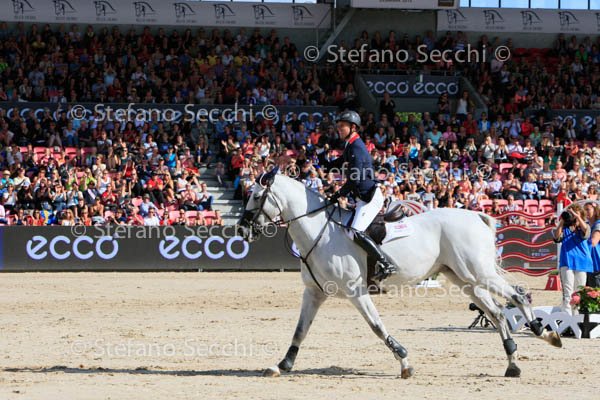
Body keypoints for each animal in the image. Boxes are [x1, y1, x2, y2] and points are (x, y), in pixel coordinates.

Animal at [237, 169, 562, 379]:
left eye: (256, 195)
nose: (241, 229)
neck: (319, 231)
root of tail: (476, 215)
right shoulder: (314, 293)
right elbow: (300, 331)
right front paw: (281, 365)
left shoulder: (356, 292)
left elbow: (377, 326)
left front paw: (404, 363)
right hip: (463, 278)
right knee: (495, 312)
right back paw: (513, 363)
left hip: (478, 274)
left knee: (517, 296)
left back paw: (544, 332)